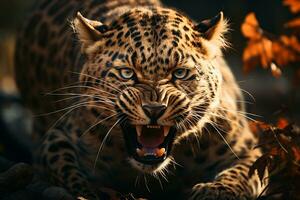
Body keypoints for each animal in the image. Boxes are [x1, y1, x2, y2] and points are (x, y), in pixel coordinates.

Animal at [15, 0, 266, 199]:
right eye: (127, 73)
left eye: (179, 73)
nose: (154, 109)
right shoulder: (56, 138)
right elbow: (65, 168)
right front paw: (89, 191)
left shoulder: (247, 147)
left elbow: (242, 175)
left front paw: (215, 191)